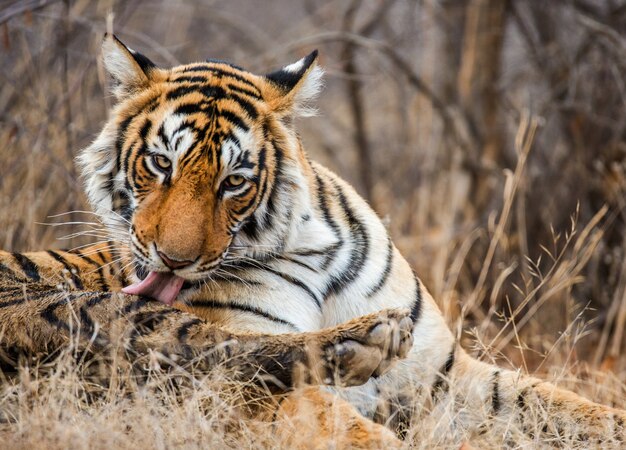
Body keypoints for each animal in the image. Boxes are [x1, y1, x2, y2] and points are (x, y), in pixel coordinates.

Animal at [0, 34, 620, 446]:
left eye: (234, 182)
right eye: (160, 163)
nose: (173, 260)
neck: (312, 248)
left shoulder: (444, 379)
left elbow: (564, 405)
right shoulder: (256, 392)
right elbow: (332, 419)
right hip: (55, 307)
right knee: (207, 350)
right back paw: (362, 341)